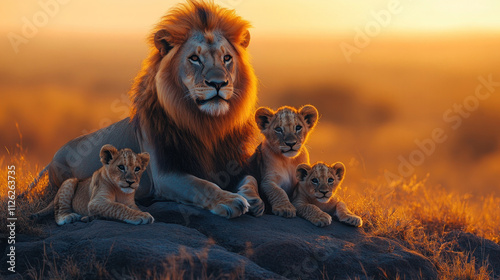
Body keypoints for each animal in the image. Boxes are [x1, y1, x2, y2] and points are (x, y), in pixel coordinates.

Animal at [32, 0, 262, 219]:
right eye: (194, 58)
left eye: (227, 58)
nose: (218, 83)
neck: (208, 125)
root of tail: (53, 156)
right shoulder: (165, 175)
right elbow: (203, 185)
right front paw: (230, 200)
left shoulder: (233, 161)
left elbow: (250, 177)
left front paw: (254, 199)